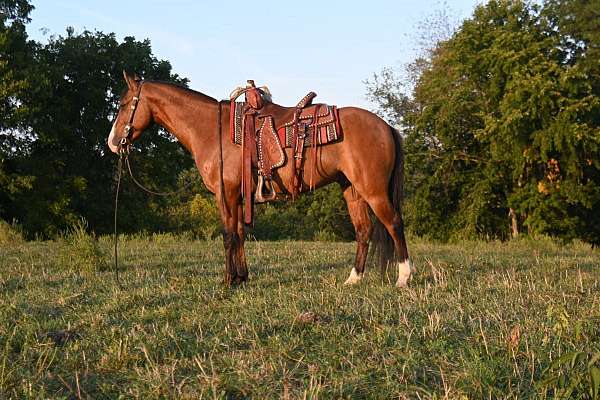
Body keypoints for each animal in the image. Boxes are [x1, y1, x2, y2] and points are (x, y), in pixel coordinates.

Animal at [108, 72, 412, 288]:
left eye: (122, 105)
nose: (112, 143)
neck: (212, 130)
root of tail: (386, 126)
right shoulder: (239, 197)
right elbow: (241, 234)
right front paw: (242, 278)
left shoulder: (226, 195)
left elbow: (228, 235)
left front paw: (228, 281)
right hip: (352, 191)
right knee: (363, 231)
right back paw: (353, 279)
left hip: (373, 191)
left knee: (394, 223)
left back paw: (404, 277)